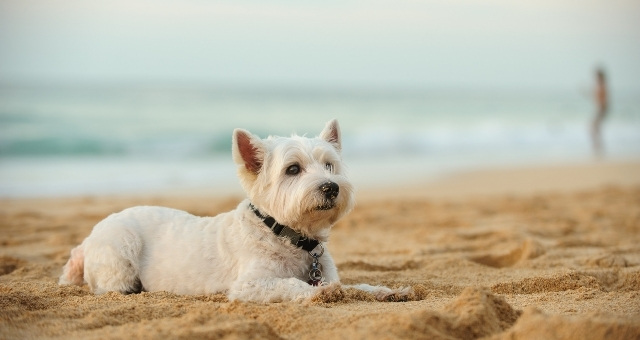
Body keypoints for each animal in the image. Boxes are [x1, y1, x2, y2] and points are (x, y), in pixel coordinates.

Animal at [61, 119, 410, 302]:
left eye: (329, 165)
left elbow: (356, 286)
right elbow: (292, 284)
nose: (331, 187)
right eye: (293, 169)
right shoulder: (250, 284)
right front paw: (320, 293)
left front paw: (387, 290)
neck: (286, 234)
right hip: (121, 251)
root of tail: (88, 239)